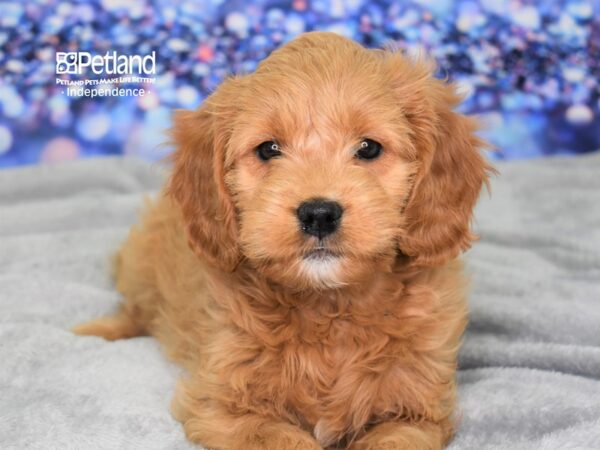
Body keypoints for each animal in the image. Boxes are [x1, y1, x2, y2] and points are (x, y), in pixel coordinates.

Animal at [74, 32, 492, 450]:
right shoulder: (223, 407)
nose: (319, 213)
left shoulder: (417, 413)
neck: (329, 310)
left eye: (369, 148)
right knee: (135, 309)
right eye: (268, 149)